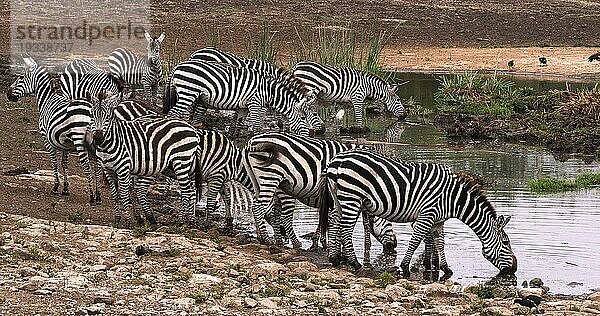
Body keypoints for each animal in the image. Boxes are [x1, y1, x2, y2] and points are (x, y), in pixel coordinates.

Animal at [6, 56, 101, 205]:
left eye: (21, 77)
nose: (8, 94)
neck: (47, 99)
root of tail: (92, 109)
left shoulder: (47, 138)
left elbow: (54, 162)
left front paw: (56, 187)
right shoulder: (65, 144)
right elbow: (64, 163)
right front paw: (65, 189)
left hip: (79, 140)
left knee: (86, 165)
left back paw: (91, 196)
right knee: (97, 165)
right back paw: (97, 196)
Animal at [88, 92, 202, 227]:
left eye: (107, 117)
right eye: (92, 115)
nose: (98, 138)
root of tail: (192, 129)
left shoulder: (123, 168)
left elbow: (124, 194)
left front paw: (128, 222)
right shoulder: (108, 170)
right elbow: (115, 195)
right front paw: (117, 220)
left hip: (182, 161)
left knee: (186, 191)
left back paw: (180, 222)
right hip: (186, 165)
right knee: (190, 190)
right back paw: (190, 221)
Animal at [164, 59, 312, 136]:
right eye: (303, 118)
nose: (307, 136)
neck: (269, 91)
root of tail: (178, 65)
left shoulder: (243, 107)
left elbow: (237, 125)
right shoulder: (255, 103)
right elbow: (256, 125)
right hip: (188, 92)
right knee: (173, 113)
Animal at [241, 131, 396, 256]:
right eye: (389, 221)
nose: (394, 245)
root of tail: (251, 142)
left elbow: (326, 221)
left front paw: (321, 242)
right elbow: (341, 222)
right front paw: (336, 247)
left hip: (259, 182)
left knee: (264, 209)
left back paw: (268, 239)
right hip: (272, 178)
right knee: (264, 209)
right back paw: (277, 240)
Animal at [322, 149, 516, 280]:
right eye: (506, 243)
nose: (514, 269)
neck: (452, 199)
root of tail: (336, 161)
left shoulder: (438, 221)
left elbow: (440, 243)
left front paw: (445, 269)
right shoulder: (427, 214)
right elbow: (416, 240)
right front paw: (405, 267)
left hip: (339, 199)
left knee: (335, 222)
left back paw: (334, 258)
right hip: (352, 197)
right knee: (346, 229)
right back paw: (355, 263)